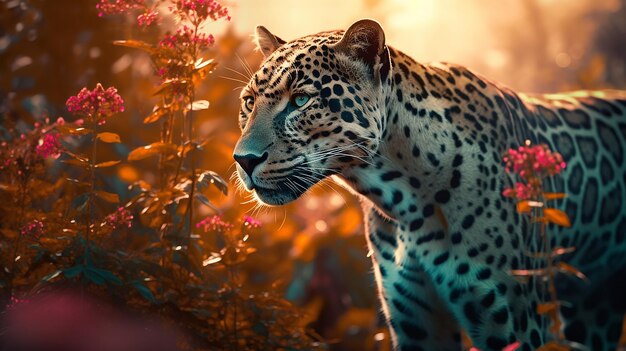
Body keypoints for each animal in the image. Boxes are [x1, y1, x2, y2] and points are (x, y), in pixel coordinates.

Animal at [232, 19, 624, 351]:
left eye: (300, 100)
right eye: (249, 102)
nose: (243, 160)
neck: (405, 198)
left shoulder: (515, 322)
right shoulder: (416, 320)